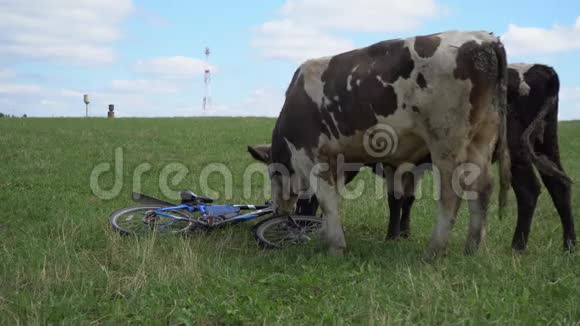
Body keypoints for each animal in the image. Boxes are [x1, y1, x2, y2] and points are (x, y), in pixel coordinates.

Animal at [247, 31, 510, 260]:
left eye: (272, 173)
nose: (278, 211)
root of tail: (484, 39)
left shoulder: (312, 158)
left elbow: (328, 202)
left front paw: (335, 247)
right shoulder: (338, 162)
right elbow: (334, 201)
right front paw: (326, 236)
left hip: (446, 142)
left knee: (451, 193)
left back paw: (434, 250)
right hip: (481, 139)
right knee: (483, 188)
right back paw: (472, 248)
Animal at [376, 64, 576, 252]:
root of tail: (543, 69)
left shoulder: (394, 161)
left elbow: (395, 199)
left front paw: (391, 237)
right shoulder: (413, 164)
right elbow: (408, 198)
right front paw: (403, 234)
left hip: (516, 150)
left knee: (528, 190)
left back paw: (518, 246)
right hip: (545, 146)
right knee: (559, 185)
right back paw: (569, 245)